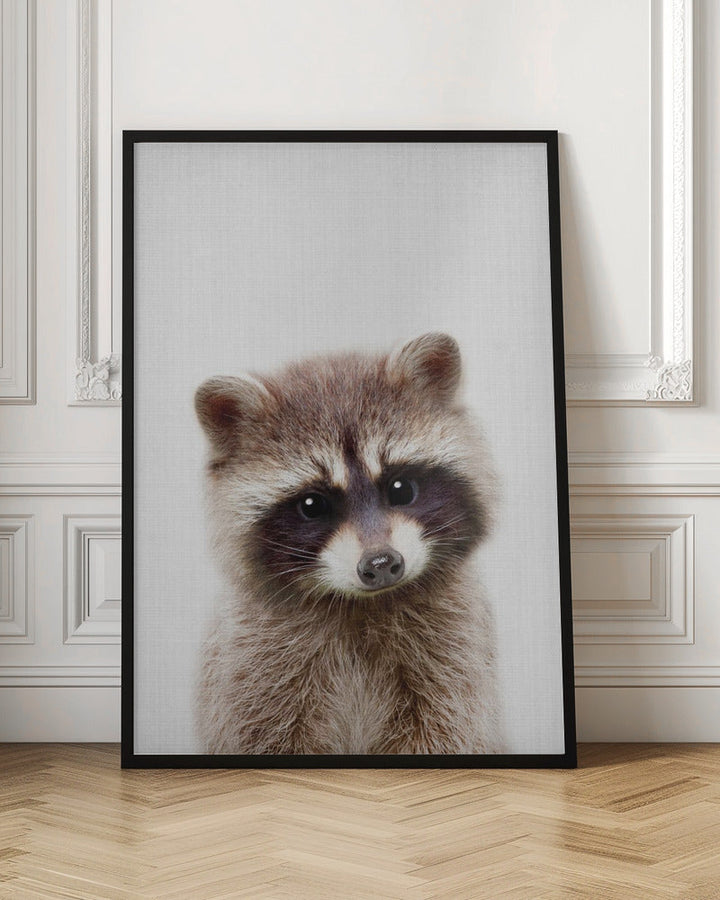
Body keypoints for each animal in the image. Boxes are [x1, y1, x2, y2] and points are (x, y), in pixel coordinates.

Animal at [194, 332, 503, 755]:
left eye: (401, 488)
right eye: (312, 505)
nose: (381, 564)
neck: (361, 605)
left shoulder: (454, 654)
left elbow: (445, 730)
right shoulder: (253, 665)